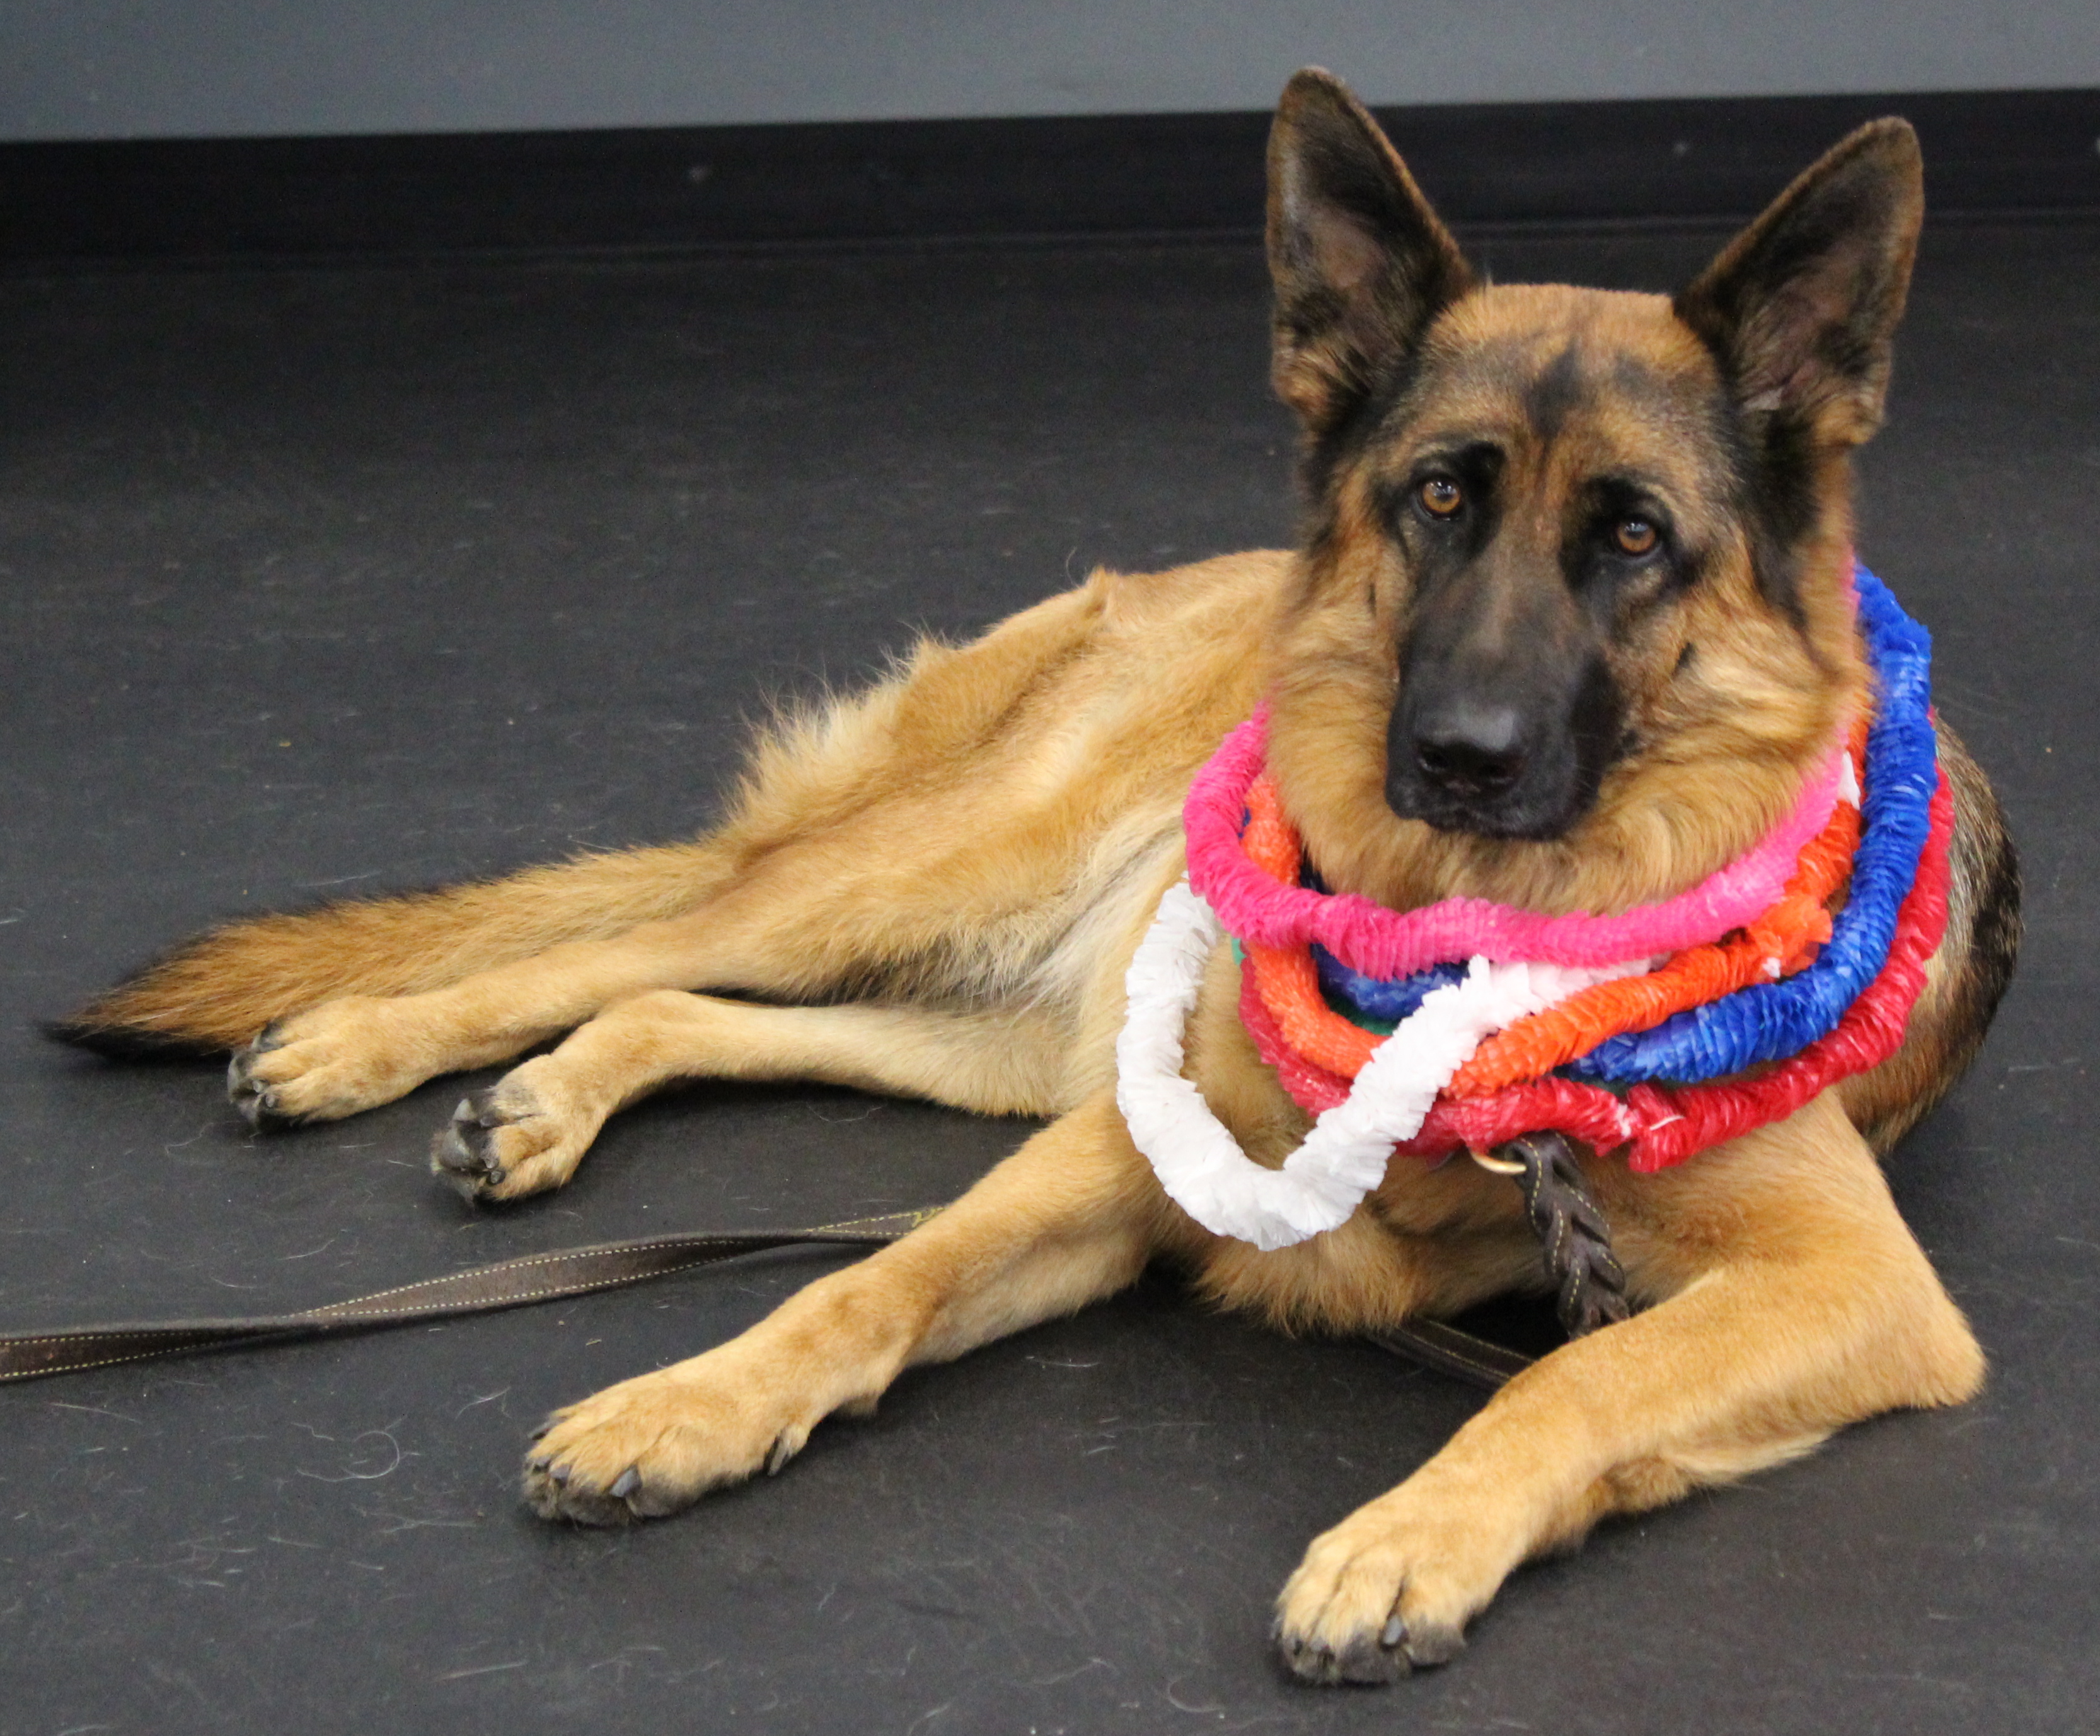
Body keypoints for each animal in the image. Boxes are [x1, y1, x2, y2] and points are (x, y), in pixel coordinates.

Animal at [54, 69, 2019, 1684]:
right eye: (1441, 499)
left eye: (1631, 537)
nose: (1455, 754)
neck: (1463, 923)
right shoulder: (1125, 1158)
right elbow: (872, 1281)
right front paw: (689, 1401)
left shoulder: (1850, 1289)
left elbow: (1581, 1364)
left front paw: (1409, 1535)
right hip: (934, 886)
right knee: (629, 940)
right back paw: (365, 1046)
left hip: (1004, 1035)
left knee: (680, 995)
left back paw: (539, 1103)